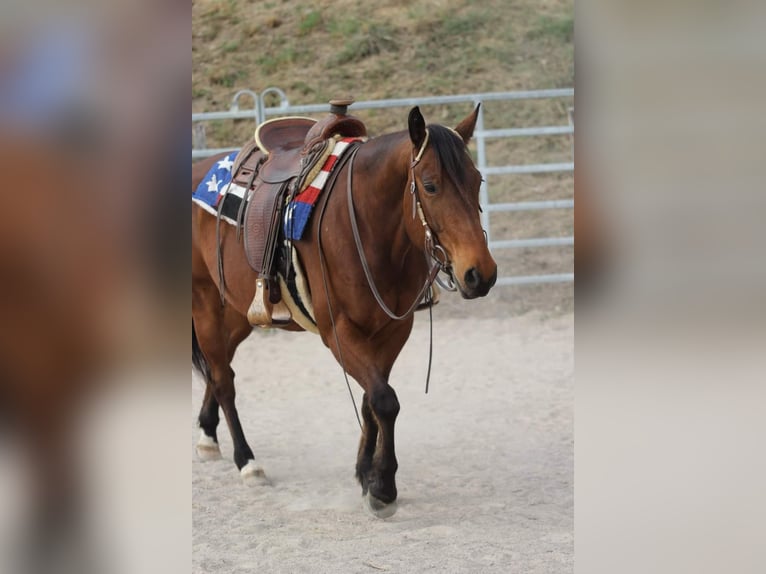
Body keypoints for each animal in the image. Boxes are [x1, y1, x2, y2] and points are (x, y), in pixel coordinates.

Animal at [192, 106, 498, 520]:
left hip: (240, 313)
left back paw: (208, 435)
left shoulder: (392, 330)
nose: (480, 274)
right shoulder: (339, 332)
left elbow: (371, 401)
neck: (370, 230)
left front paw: (365, 472)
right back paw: (247, 461)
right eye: (431, 186)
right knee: (223, 378)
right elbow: (385, 399)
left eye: (477, 180)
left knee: (217, 366)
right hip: (205, 301)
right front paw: (383, 487)